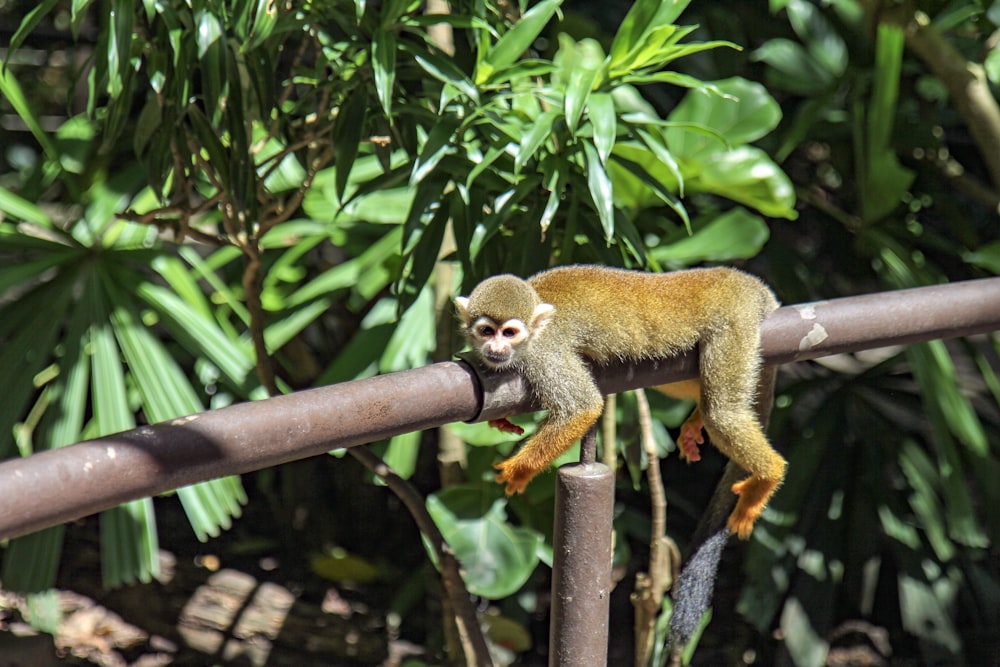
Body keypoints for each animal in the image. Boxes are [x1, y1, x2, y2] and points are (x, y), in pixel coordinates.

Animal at [456, 264, 788, 540]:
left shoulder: (544, 353)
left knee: (722, 413)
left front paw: (519, 470)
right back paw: (697, 418)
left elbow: (583, 406)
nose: (496, 348)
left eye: (509, 332)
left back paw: (768, 475)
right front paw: (498, 419)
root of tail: (741, 280)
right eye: (486, 331)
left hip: (733, 323)